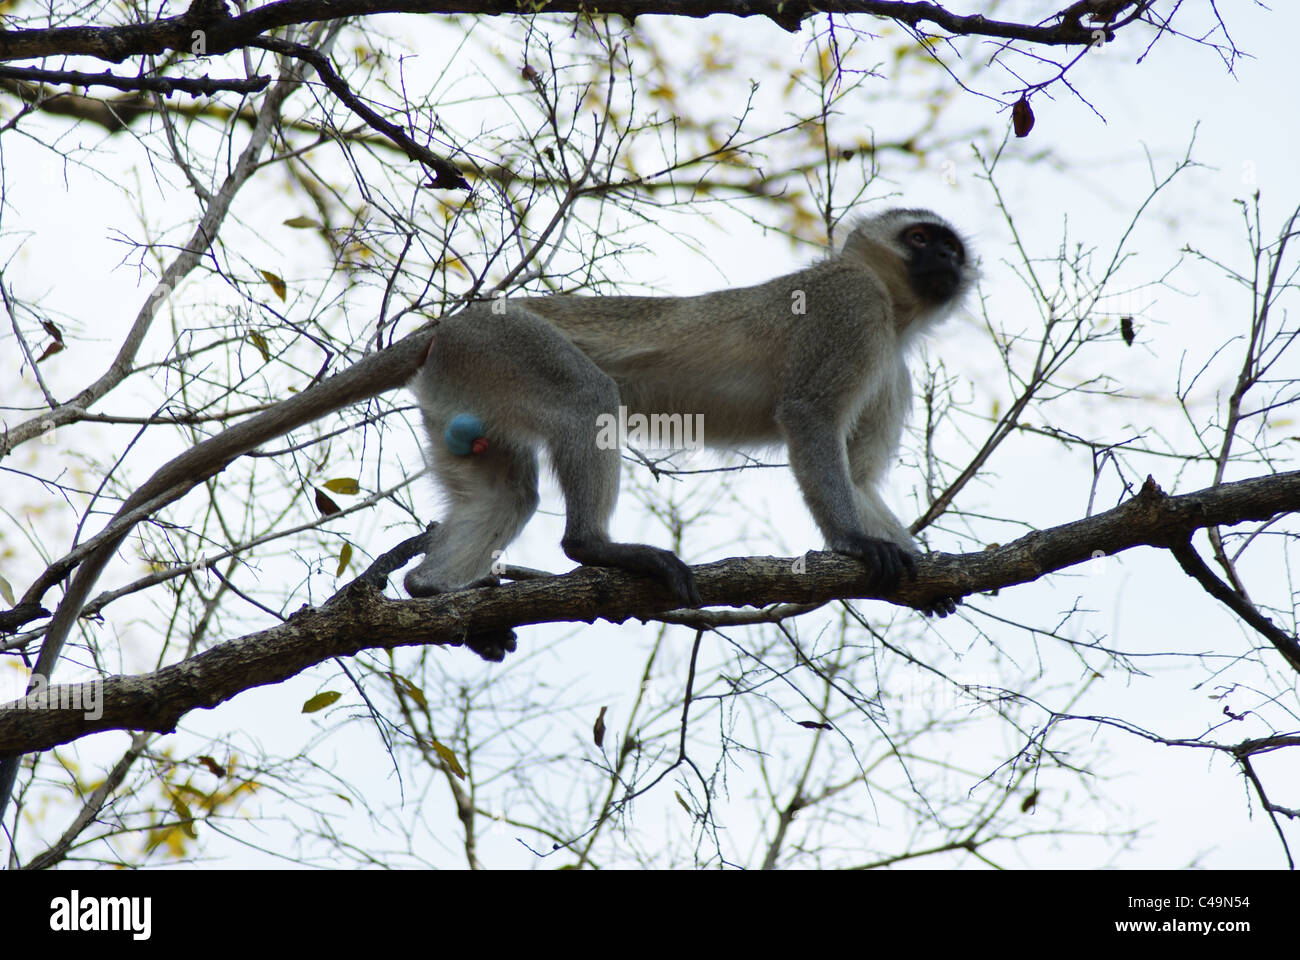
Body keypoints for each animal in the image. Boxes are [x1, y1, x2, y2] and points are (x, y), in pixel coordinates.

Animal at [403, 208, 972, 658]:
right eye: (919, 238)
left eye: (950, 246)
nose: (946, 258)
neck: (894, 316)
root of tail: (447, 328)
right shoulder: (851, 306)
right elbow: (808, 416)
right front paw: (855, 544)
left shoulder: (893, 370)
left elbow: (858, 480)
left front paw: (923, 577)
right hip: (499, 343)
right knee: (585, 399)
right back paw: (594, 547)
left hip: (464, 387)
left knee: (506, 495)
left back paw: (427, 590)